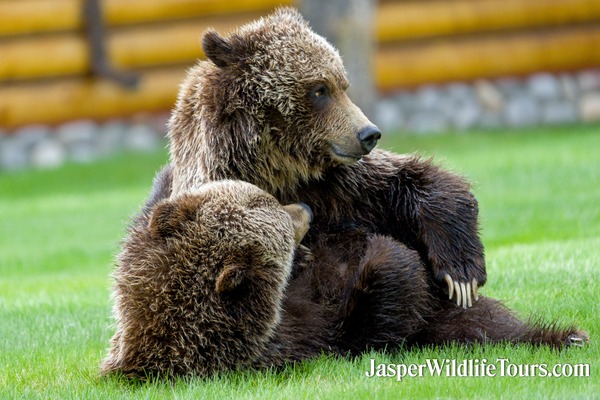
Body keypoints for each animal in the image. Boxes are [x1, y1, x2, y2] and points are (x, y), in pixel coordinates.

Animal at [102, 177, 584, 378]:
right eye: (278, 215)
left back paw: (566, 336)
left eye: (264, 196)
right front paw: (391, 258)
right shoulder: (303, 338)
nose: (306, 208)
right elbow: (371, 324)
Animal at [165, 6, 482, 308]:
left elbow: (409, 179)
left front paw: (461, 276)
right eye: (319, 89)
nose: (369, 133)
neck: (278, 167)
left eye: (343, 85)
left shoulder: (338, 184)